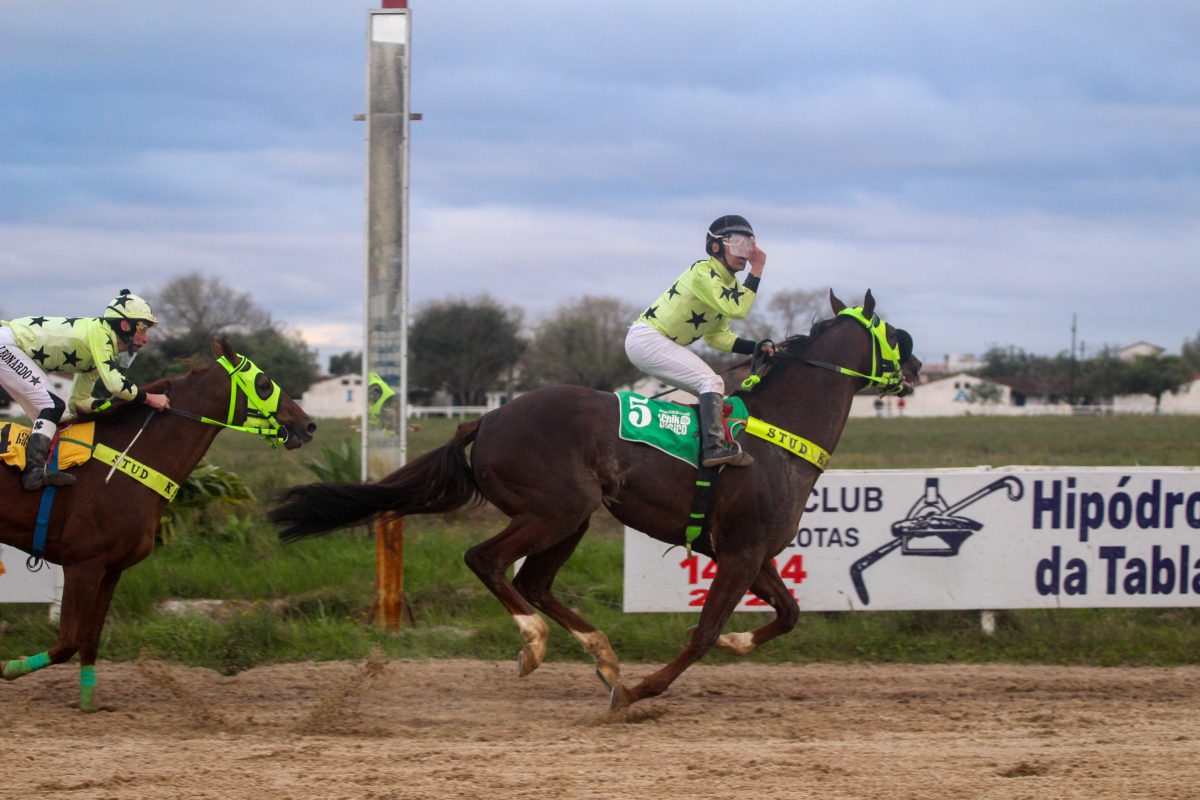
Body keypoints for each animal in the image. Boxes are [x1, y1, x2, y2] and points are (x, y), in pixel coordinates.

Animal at [0, 335, 316, 710]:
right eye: (264, 383)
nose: (308, 424)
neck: (126, 459)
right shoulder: (82, 564)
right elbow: (67, 643)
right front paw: (8, 667)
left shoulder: (110, 569)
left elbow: (89, 640)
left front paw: (90, 704)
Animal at [272, 291, 921, 710]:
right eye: (897, 336)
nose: (915, 366)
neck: (775, 433)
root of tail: (488, 418)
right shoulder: (739, 553)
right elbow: (704, 631)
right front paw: (637, 690)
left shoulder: (751, 552)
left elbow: (787, 614)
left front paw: (732, 644)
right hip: (558, 509)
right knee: (487, 560)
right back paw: (537, 644)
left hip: (572, 519)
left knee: (532, 580)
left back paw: (599, 652)